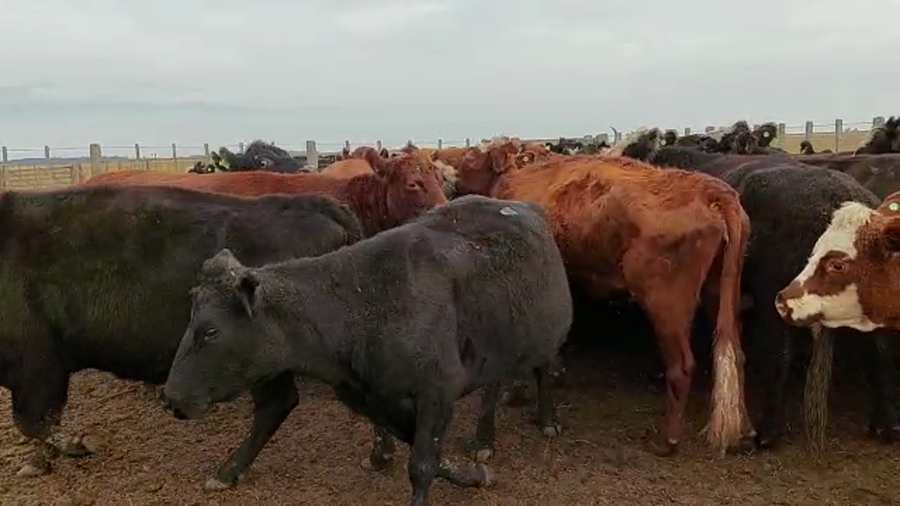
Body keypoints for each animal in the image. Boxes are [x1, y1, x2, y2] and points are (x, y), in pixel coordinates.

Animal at [0, 184, 364, 488]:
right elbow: (41, 422)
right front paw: (42, 461)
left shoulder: (38, 370)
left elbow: (34, 422)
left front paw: (79, 445)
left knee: (275, 405)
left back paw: (226, 473)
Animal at [161, 195, 574, 506]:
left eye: (210, 330)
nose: (170, 397)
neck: (362, 304)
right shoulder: (372, 396)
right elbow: (426, 454)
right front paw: (471, 473)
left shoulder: (437, 392)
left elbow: (422, 464)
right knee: (492, 384)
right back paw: (485, 438)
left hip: (543, 338)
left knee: (541, 370)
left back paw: (546, 419)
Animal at [437, 139, 754, 457]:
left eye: (473, 154)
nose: (446, 173)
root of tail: (710, 189)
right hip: (718, 293)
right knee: (736, 355)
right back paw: (746, 431)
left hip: (667, 303)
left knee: (682, 366)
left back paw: (667, 440)